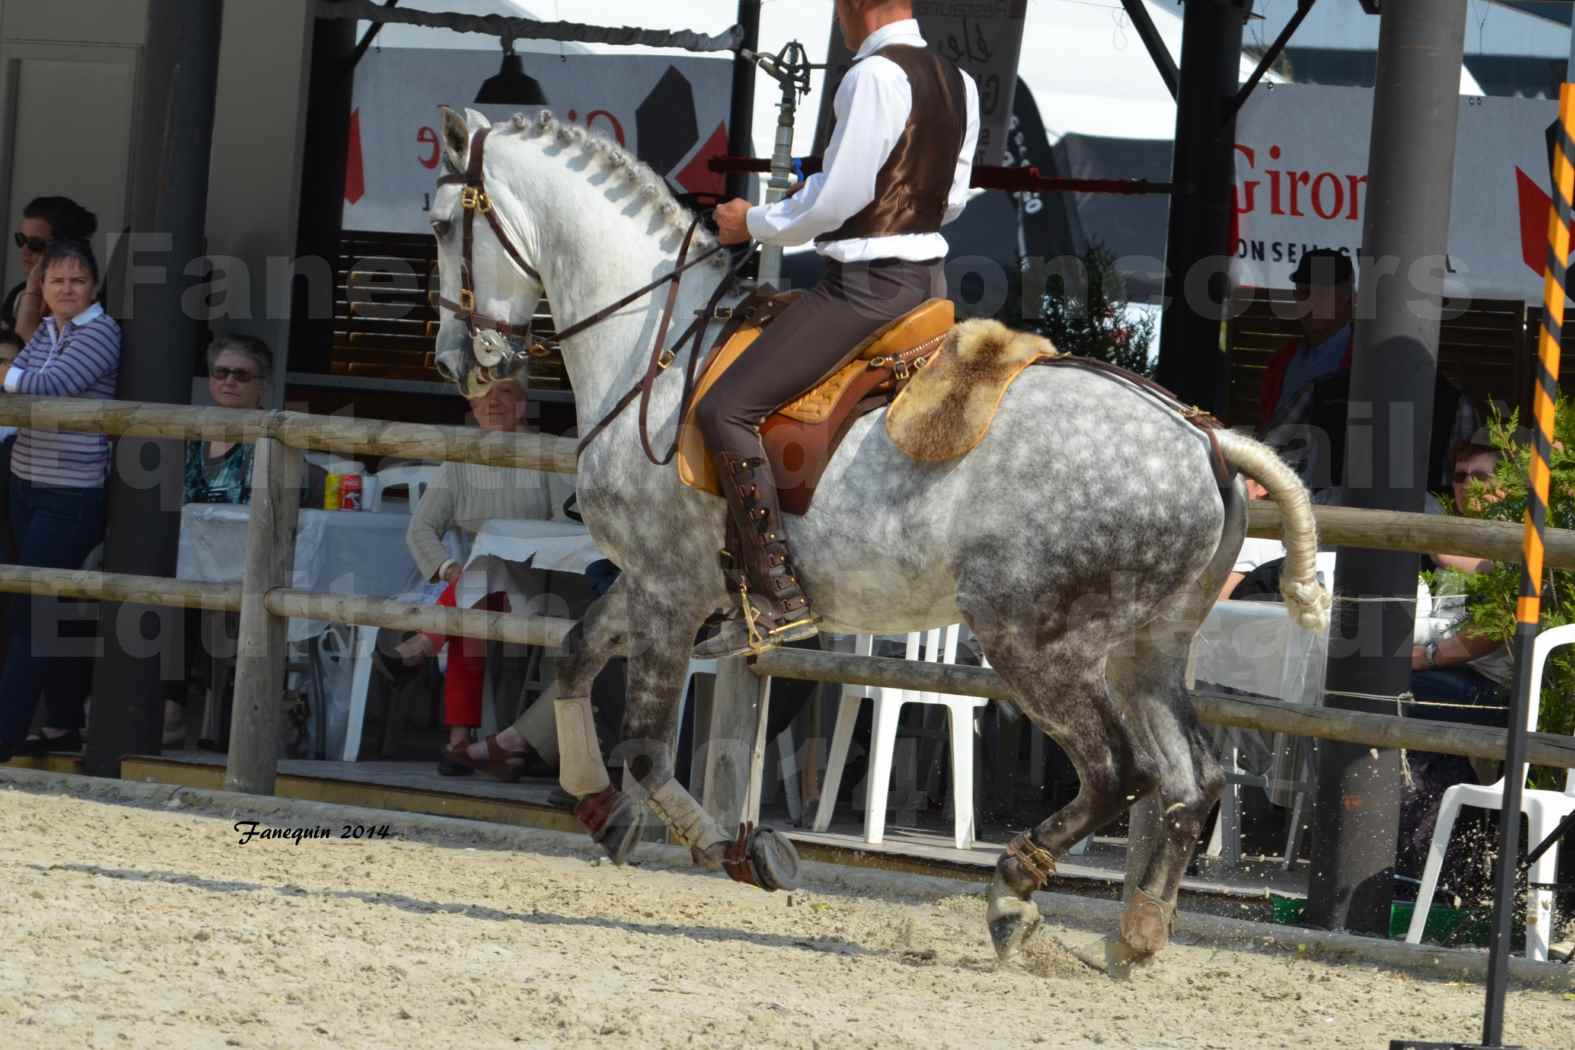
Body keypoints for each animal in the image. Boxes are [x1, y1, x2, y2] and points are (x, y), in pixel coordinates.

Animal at [425, 108, 1323, 969]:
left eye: (437, 225)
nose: (455, 365)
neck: (655, 349)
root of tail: (1201, 437)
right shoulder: (654, 581)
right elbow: (574, 656)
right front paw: (596, 802)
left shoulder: (667, 593)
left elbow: (645, 747)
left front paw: (733, 850)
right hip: (1147, 649)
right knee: (1188, 780)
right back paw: (1134, 934)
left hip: (1035, 640)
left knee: (1118, 773)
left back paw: (1012, 901)